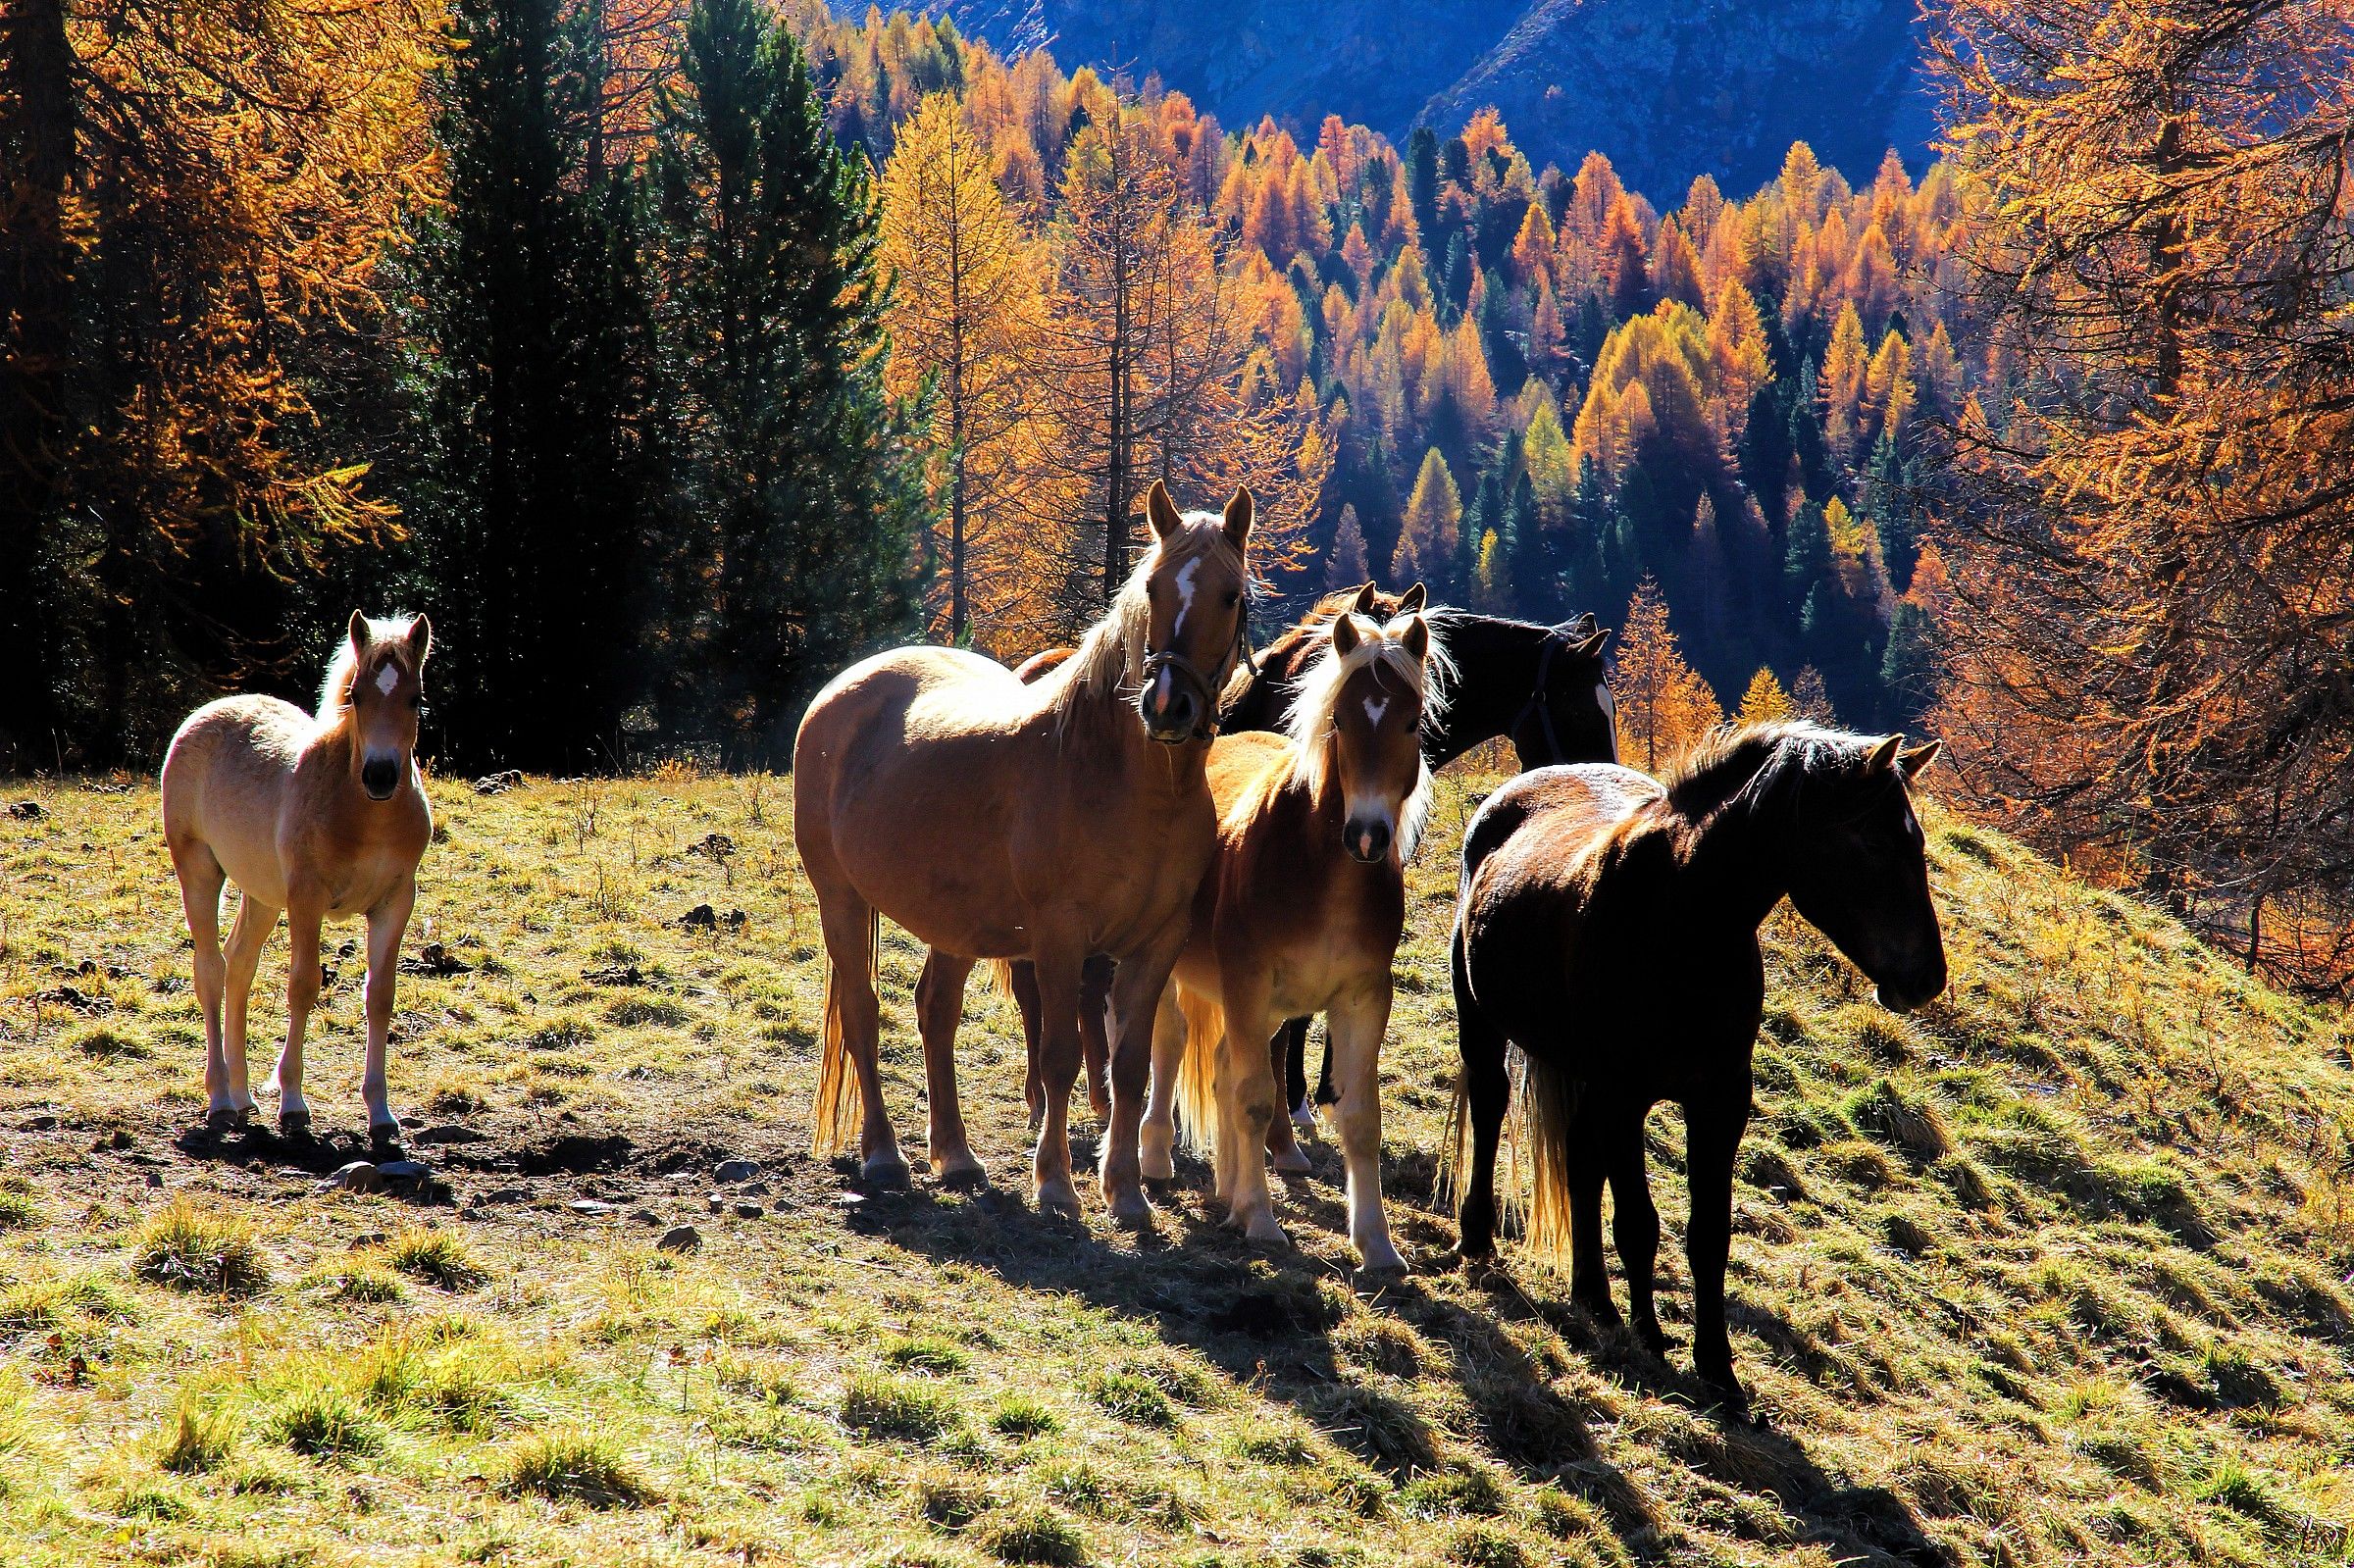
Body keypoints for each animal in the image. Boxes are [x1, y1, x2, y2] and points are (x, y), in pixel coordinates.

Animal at [159, 612, 435, 1144]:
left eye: (414, 698)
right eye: (357, 696)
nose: (381, 776)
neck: (365, 815)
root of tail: (206, 713)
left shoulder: (395, 903)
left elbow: (380, 996)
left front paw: (380, 1113)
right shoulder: (307, 898)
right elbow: (304, 986)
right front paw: (292, 1104)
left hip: (263, 894)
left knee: (240, 964)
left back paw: (243, 1098)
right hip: (200, 871)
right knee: (211, 970)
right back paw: (220, 1101)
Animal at [793, 482, 1253, 1220]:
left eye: (1230, 594)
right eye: (1152, 587)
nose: (1167, 705)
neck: (1129, 782)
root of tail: (842, 690)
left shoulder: (1156, 944)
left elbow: (1128, 1065)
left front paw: (1127, 1192)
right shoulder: (1060, 937)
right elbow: (1061, 1054)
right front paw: (1057, 1184)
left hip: (952, 924)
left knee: (935, 1013)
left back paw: (955, 1154)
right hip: (841, 900)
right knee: (864, 1013)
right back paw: (885, 1154)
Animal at [1136, 608, 1444, 1268]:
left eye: (1411, 723)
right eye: (1340, 721)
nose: (1368, 836)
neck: (1324, 875)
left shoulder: (1362, 998)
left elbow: (1359, 1117)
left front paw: (1377, 1245)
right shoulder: (1248, 984)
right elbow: (1255, 1099)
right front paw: (1260, 1219)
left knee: (1224, 1067)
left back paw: (1227, 1186)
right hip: (1180, 976)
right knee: (1171, 1046)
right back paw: (1156, 1159)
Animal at [1446, 724, 1946, 1413]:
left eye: (1916, 840)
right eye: (1872, 841)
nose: (1927, 978)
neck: (1680, 922)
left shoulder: (1719, 1102)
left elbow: (1708, 1236)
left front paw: (1718, 1370)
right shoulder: (1626, 1094)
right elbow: (1639, 1222)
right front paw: (1651, 1339)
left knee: (1579, 1156)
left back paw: (1592, 1297)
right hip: (1486, 1024)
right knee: (1492, 1107)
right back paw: (1478, 1237)